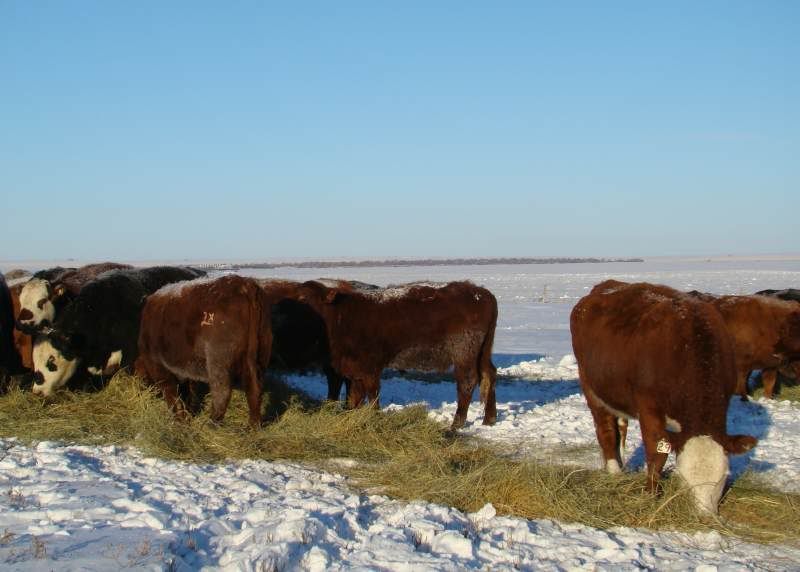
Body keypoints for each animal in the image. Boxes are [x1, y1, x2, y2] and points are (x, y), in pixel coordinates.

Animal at [135, 275, 272, 427]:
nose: (139, 391)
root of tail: (243, 284)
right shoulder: (187, 368)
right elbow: (188, 391)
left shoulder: (157, 365)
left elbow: (171, 392)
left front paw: (180, 419)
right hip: (259, 356)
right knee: (254, 390)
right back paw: (253, 426)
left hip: (218, 361)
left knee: (222, 392)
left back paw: (211, 423)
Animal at [296, 280, 498, 429]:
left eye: (306, 299)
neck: (342, 316)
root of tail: (482, 293)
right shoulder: (353, 371)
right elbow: (354, 397)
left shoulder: (370, 368)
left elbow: (372, 394)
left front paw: (373, 417)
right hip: (482, 353)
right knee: (489, 374)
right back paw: (489, 419)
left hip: (464, 354)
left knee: (467, 382)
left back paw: (456, 424)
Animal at [570, 280, 758, 514]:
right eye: (684, 478)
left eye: (723, 477)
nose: (704, 516)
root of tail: (606, 286)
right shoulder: (649, 408)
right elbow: (656, 455)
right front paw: (651, 495)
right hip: (591, 387)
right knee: (605, 430)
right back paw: (614, 471)